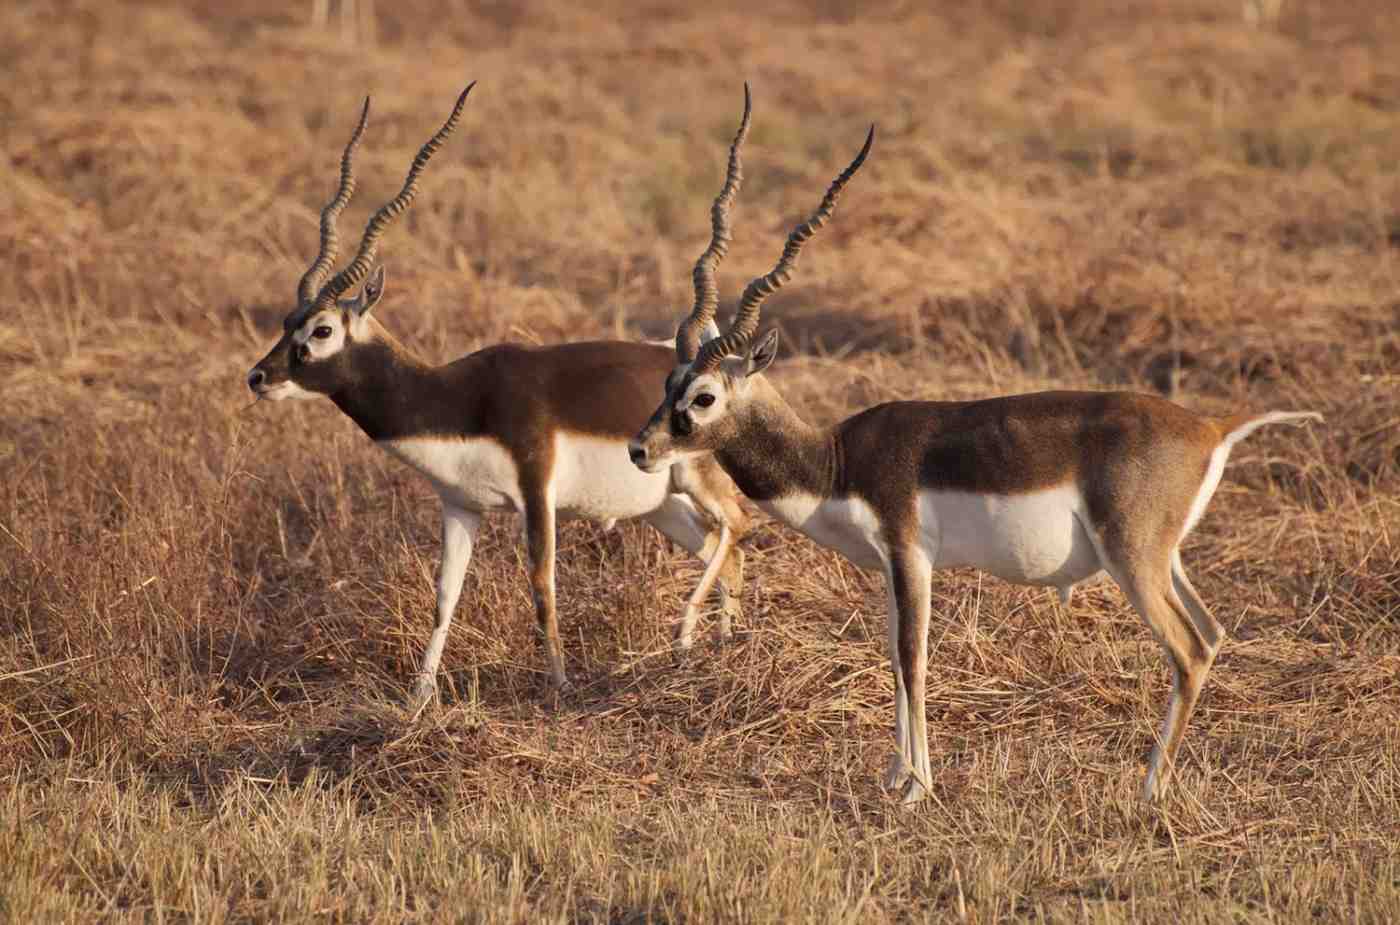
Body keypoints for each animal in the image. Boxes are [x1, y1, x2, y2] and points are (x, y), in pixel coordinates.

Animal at [250, 86, 756, 702]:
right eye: (285, 320)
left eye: (321, 330)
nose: (258, 377)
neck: (457, 398)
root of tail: (712, 362)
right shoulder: (460, 505)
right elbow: (444, 597)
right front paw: (419, 700)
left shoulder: (536, 492)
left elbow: (543, 586)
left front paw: (558, 689)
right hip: (662, 505)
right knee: (724, 553)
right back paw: (715, 652)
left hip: (697, 482)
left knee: (736, 529)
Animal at [635, 109, 1321, 800]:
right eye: (667, 382)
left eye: (703, 396)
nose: (642, 449)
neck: (836, 462)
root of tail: (1211, 426)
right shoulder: (891, 569)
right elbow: (893, 656)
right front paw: (895, 775)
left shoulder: (911, 556)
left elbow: (913, 660)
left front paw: (918, 788)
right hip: (1166, 557)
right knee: (1211, 634)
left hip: (1131, 558)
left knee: (1187, 648)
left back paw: (1149, 790)